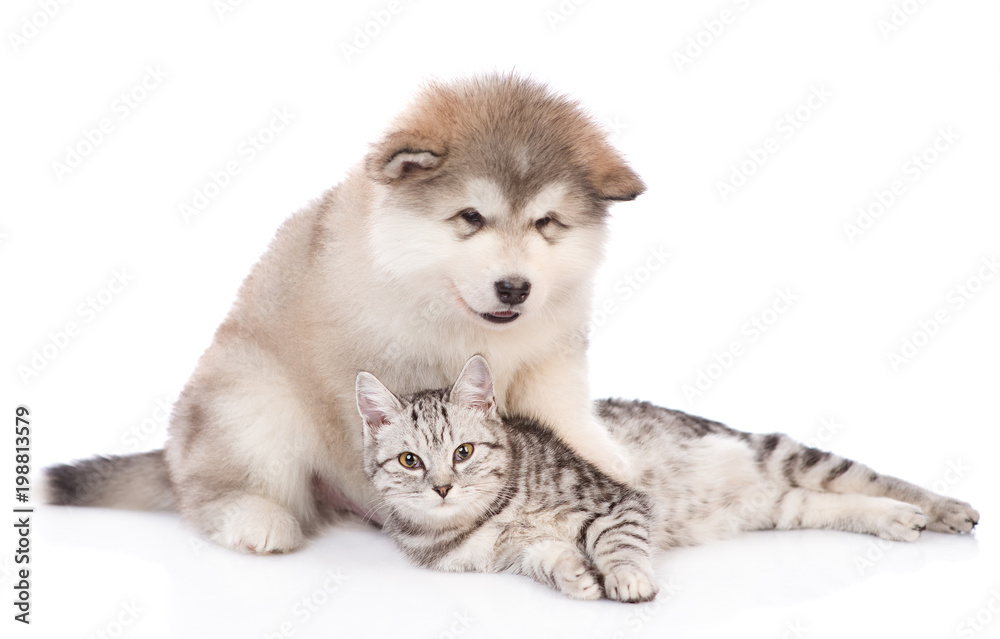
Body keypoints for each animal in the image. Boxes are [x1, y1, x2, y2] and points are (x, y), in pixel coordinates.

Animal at [43, 74, 644, 556]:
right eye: (471, 217)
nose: (515, 289)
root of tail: (172, 453)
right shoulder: (380, 375)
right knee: (210, 490)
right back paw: (255, 519)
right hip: (253, 401)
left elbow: (565, 418)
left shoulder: (551, 357)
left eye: (547, 222)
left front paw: (610, 465)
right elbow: (397, 441)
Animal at [356, 358, 980, 604]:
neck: (484, 519)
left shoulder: (616, 502)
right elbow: (549, 559)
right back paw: (897, 522)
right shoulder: (518, 555)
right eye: (410, 461)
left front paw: (626, 579)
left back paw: (944, 508)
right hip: (777, 505)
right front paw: (578, 578)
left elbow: (617, 542)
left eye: (462, 452)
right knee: (820, 503)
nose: (442, 487)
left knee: (875, 477)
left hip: (787, 454)